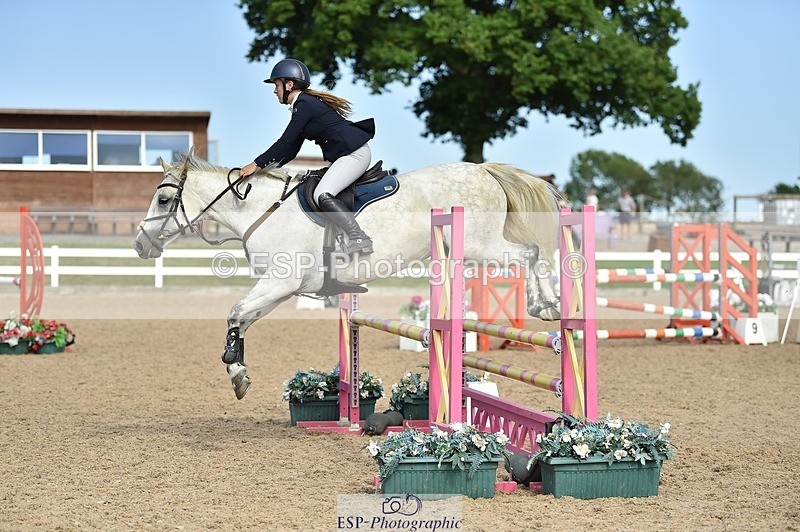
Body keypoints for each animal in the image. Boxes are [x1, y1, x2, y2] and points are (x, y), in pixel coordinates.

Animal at [134, 153, 562, 400]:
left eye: (164, 199)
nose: (140, 245)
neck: (261, 210)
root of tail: (484, 171)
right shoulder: (282, 289)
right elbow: (243, 318)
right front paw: (237, 370)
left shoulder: (280, 283)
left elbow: (235, 312)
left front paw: (234, 369)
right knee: (529, 254)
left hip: (479, 244)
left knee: (530, 253)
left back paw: (547, 306)